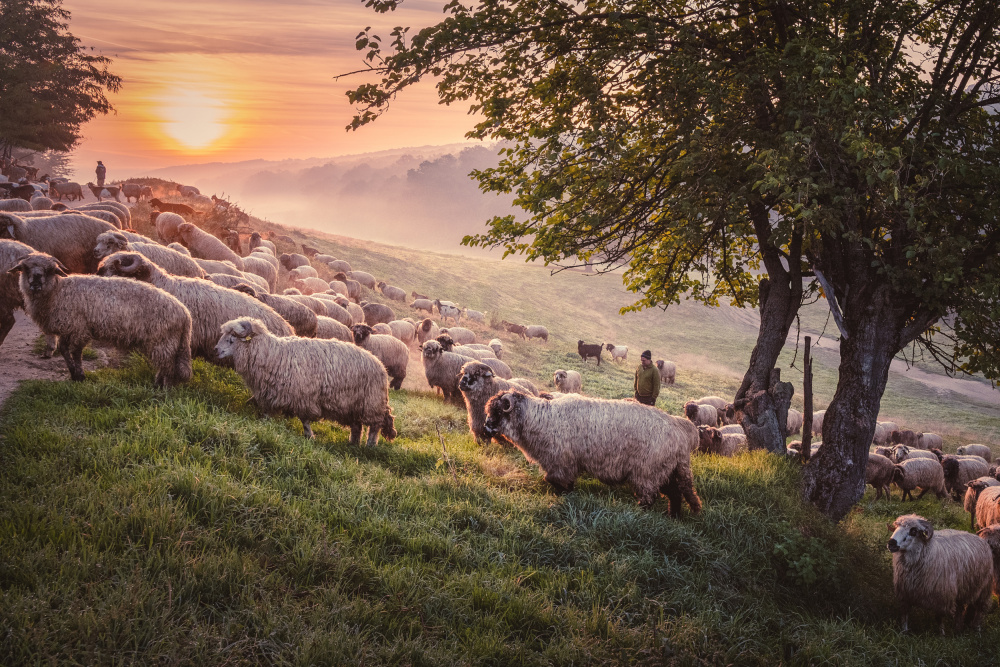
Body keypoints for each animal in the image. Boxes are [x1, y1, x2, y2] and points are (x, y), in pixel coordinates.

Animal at [13, 250, 191, 386]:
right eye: (25, 268)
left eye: (50, 269)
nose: (35, 283)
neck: (57, 291)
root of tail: (184, 313)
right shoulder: (67, 327)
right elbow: (63, 349)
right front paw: (73, 373)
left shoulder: (79, 328)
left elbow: (76, 352)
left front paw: (80, 375)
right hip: (167, 343)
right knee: (167, 366)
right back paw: (158, 385)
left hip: (164, 341)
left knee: (168, 367)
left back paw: (164, 388)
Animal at [480, 392, 700, 516]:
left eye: (497, 412)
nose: (485, 428)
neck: (540, 419)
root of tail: (681, 431)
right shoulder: (565, 464)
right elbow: (563, 483)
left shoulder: (561, 462)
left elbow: (554, 481)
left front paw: (564, 495)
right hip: (666, 471)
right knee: (676, 494)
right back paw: (673, 516)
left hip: (647, 472)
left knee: (650, 497)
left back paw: (640, 512)